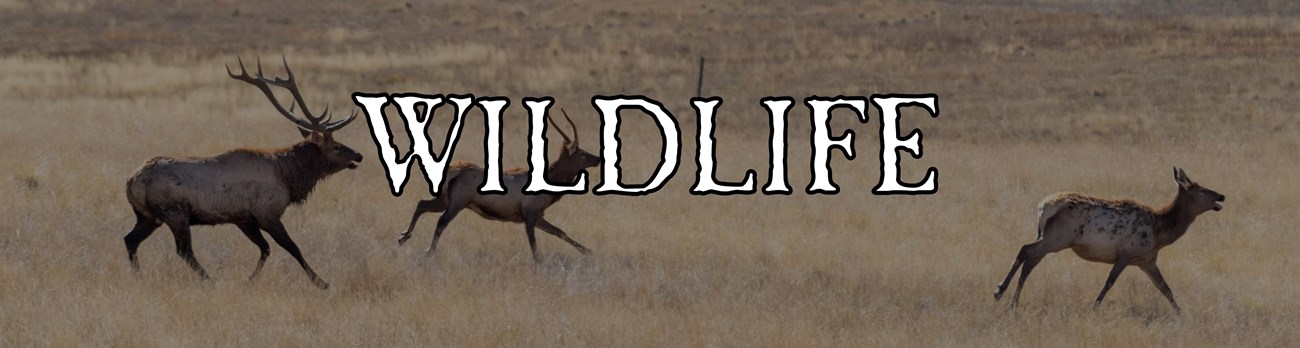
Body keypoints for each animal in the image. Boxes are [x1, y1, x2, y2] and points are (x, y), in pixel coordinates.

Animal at [121, 58, 361, 289]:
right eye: (336, 146)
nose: (358, 155)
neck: (288, 178)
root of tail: (131, 182)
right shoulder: (267, 213)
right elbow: (292, 247)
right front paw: (322, 282)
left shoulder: (244, 219)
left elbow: (265, 249)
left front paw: (250, 279)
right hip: (175, 213)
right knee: (183, 250)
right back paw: (209, 280)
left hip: (147, 216)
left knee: (130, 239)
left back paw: (139, 275)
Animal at [397, 109, 600, 263]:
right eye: (582, 153)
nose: (597, 158)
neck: (548, 185)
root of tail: (454, 170)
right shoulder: (530, 216)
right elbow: (534, 246)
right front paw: (539, 265)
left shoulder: (538, 216)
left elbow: (560, 232)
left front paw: (590, 251)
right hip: (457, 202)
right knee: (441, 221)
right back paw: (427, 251)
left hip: (444, 200)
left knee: (422, 204)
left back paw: (404, 236)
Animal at [987, 167, 1222, 314]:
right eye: (1202, 190)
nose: (1222, 196)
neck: (1160, 231)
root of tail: (1042, 206)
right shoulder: (1127, 253)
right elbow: (1109, 282)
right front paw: (1094, 307)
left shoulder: (1147, 260)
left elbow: (1165, 288)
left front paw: (1181, 313)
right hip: (1058, 238)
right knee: (1025, 250)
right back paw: (999, 292)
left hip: (1047, 236)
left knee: (1030, 262)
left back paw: (1011, 301)